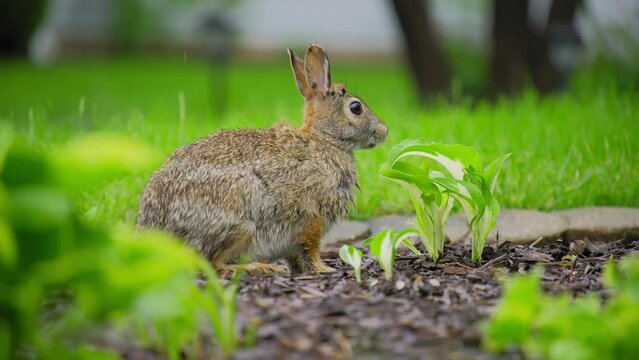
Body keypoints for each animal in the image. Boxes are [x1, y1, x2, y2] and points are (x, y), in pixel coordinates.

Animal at [137, 44, 388, 276]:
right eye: (356, 108)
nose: (384, 131)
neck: (324, 139)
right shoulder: (313, 217)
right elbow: (310, 248)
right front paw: (323, 269)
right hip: (240, 222)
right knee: (213, 264)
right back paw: (261, 267)